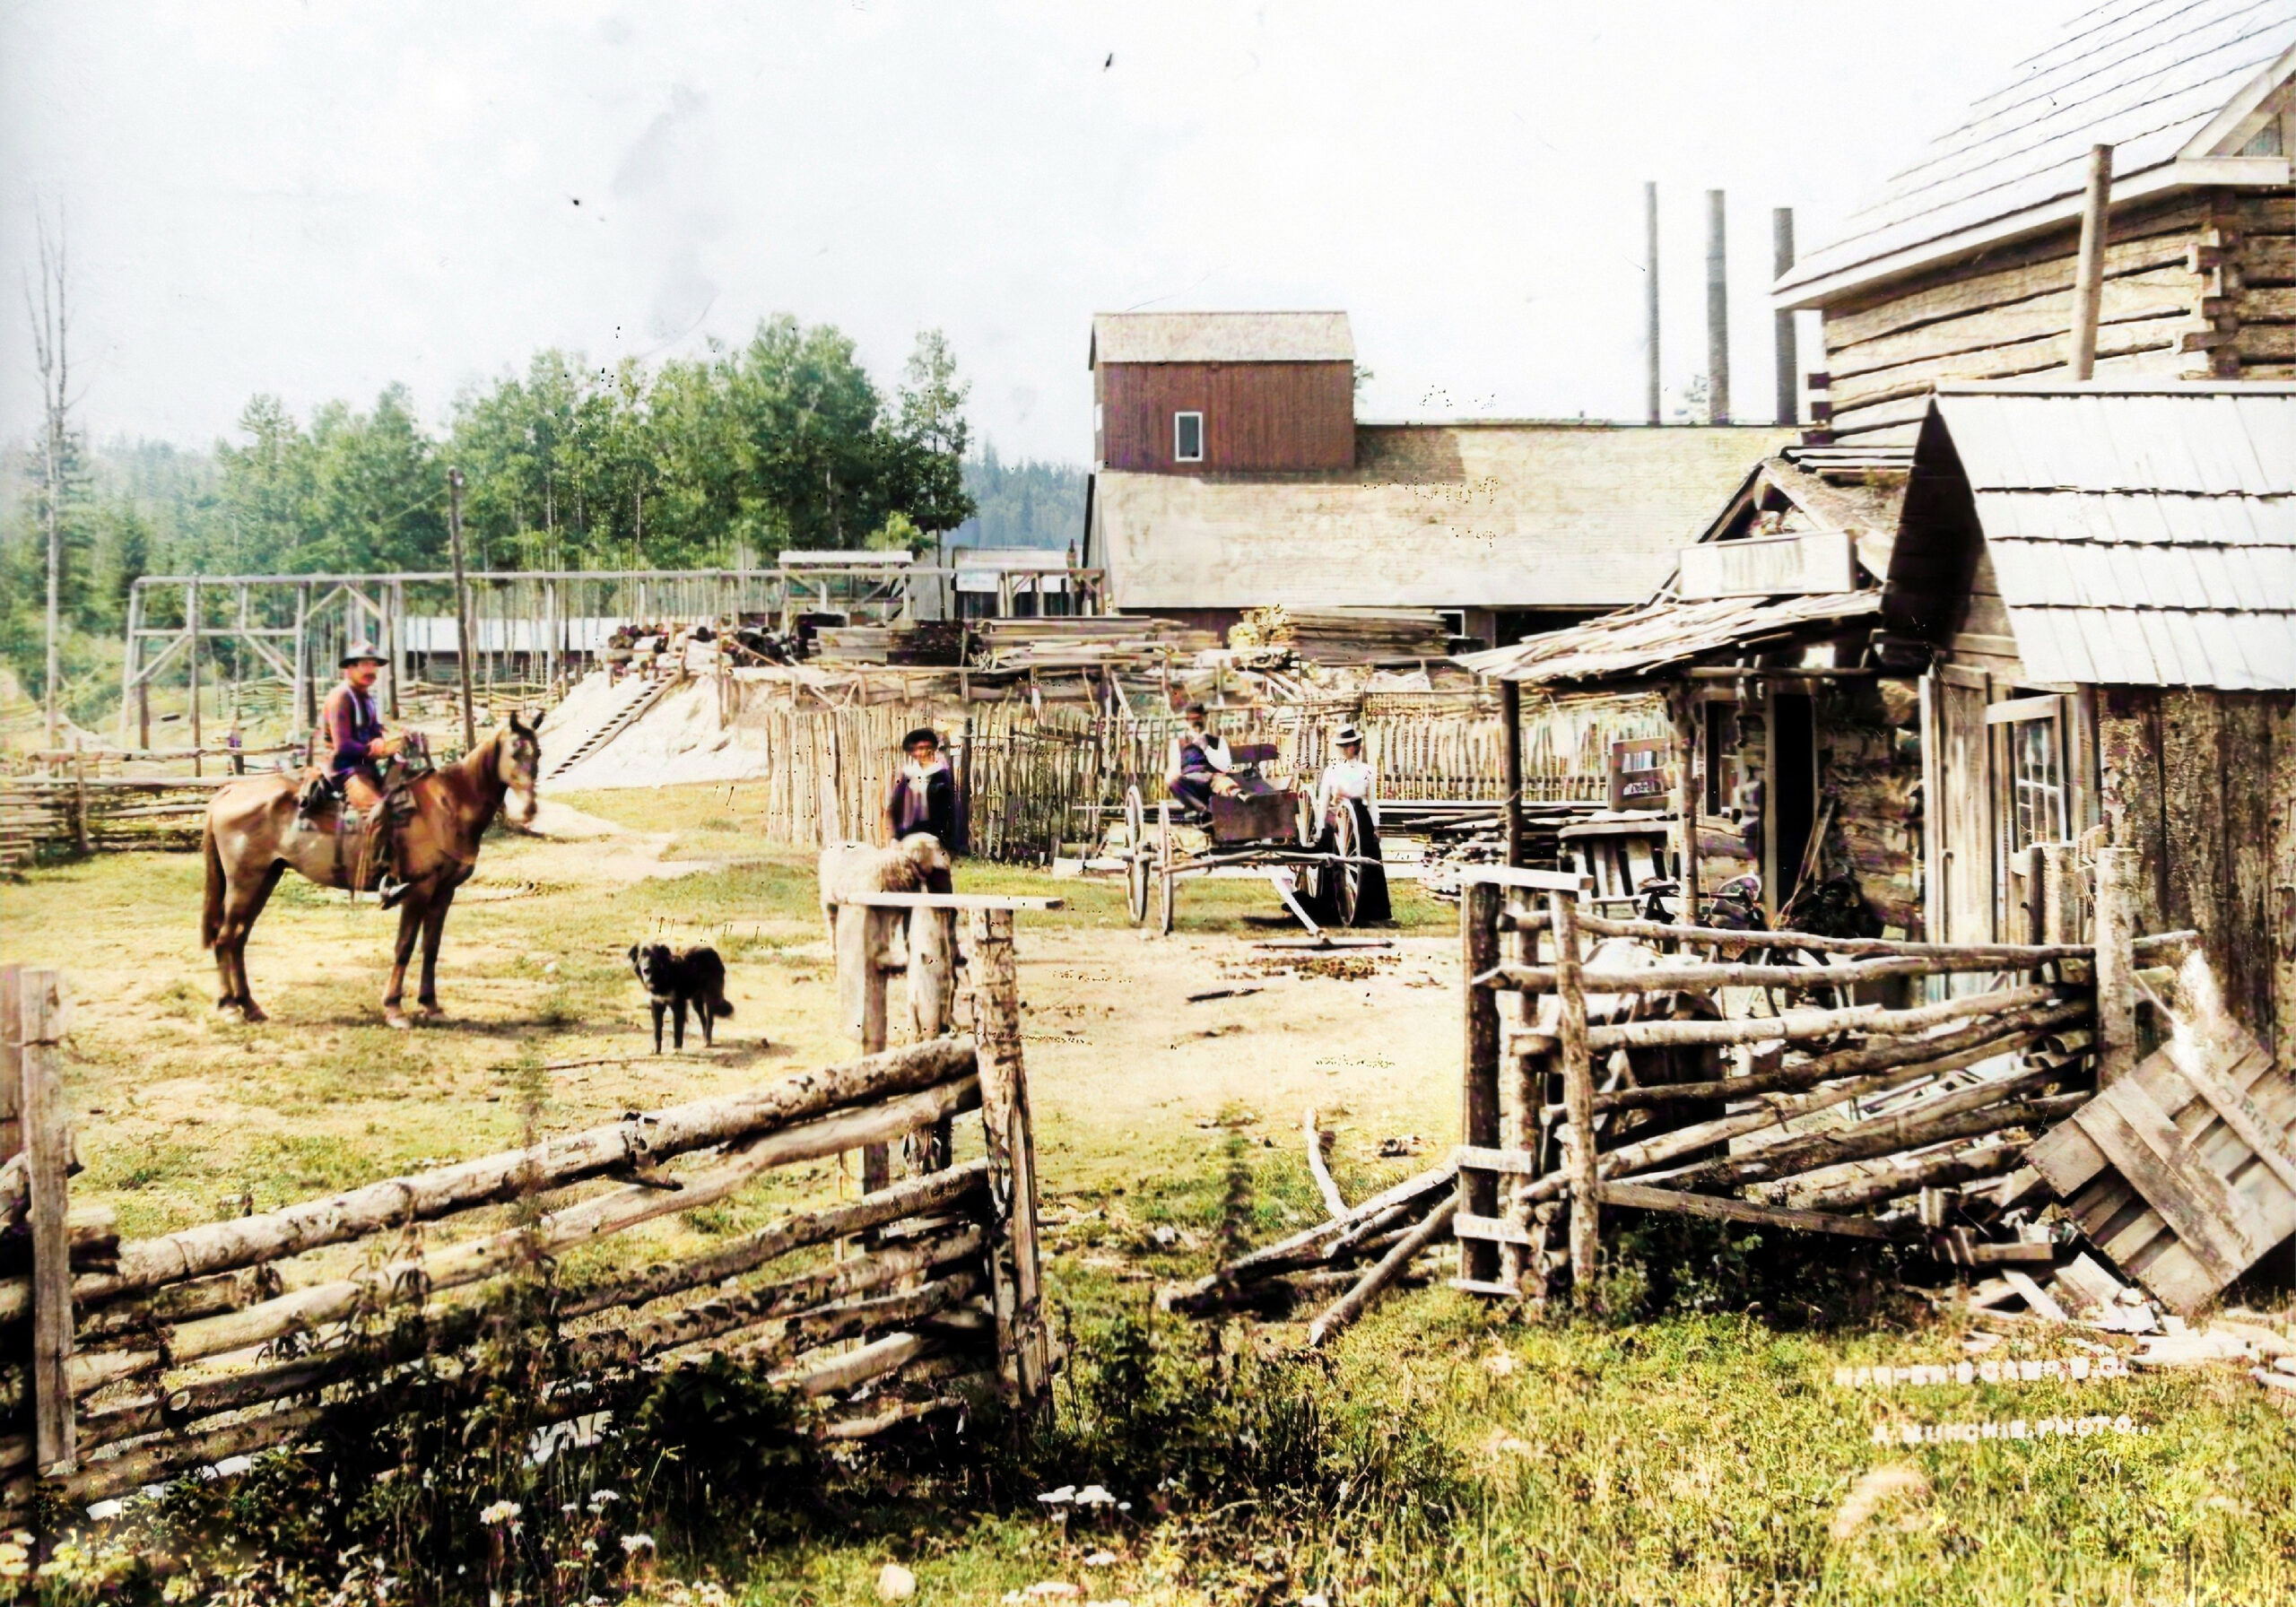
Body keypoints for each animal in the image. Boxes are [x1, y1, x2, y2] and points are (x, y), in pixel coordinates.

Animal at [196, 716, 537, 1028]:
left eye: (537, 752)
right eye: (514, 752)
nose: (529, 809)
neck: (448, 804)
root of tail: (228, 792)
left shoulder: (444, 892)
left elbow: (431, 948)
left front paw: (431, 1005)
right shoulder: (419, 889)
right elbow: (404, 946)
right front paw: (395, 1009)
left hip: (265, 879)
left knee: (238, 939)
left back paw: (250, 1006)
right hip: (244, 883)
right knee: (225, 939)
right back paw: (229, 1006)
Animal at [629, 941, 735, 1055]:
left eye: (654, 957)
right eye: (642, 956)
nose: (646, 969)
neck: (663, 976)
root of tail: (713, 951)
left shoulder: (679, 1006)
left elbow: (677, 1029)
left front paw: (677, 1049)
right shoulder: (656, 1005)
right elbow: (657, 1031)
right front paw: (657, 1050)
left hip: (710, 997)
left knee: (710, 1020)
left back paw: (707, 1040)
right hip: (696, 1001)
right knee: (704, 1019)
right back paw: (705, 1039)